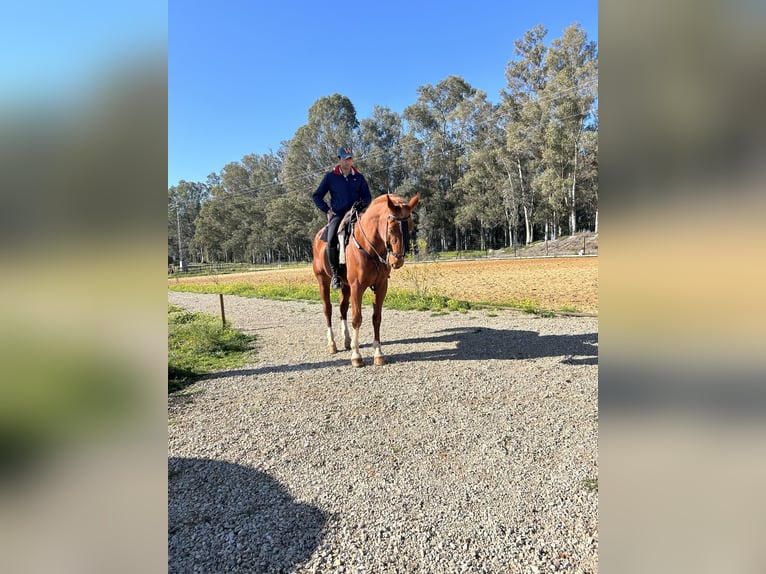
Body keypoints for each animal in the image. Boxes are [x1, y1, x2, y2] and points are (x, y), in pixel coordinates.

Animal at [310, 192, 420, 364]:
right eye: (392, 228)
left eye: (410, 226)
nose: (397, 261)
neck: (369, 247)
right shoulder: (357, 287)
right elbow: (357, 318)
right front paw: (356, 356)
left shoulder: (381, 287)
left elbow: (376, 318)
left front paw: (378, 353)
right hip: (323, 281)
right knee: (327, 309)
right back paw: (332, 344)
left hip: (346, 286)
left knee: (342, 308)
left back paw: (347, 341)